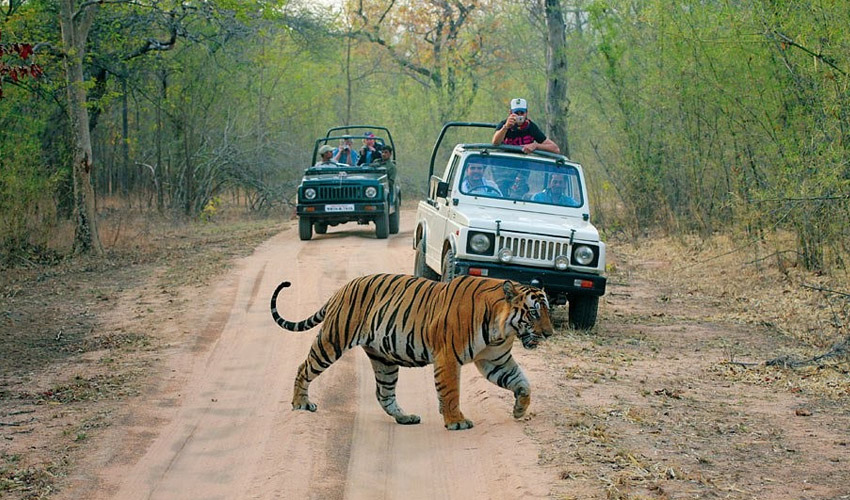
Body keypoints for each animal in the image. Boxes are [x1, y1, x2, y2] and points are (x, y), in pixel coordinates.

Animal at [268, 274, 552, 430]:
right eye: (534, 313)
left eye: (548, 311)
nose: (549, 334)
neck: (500, 329)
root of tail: (343, 287)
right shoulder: (448, 357)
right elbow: (451, 392)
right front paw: (456, 421)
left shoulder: (496, 361)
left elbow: (522, 383)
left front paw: (519, 410)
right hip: (332, 341)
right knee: (304, 368)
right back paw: (301, 404)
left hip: (383, 360)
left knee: (383, 394)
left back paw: (405, 417)